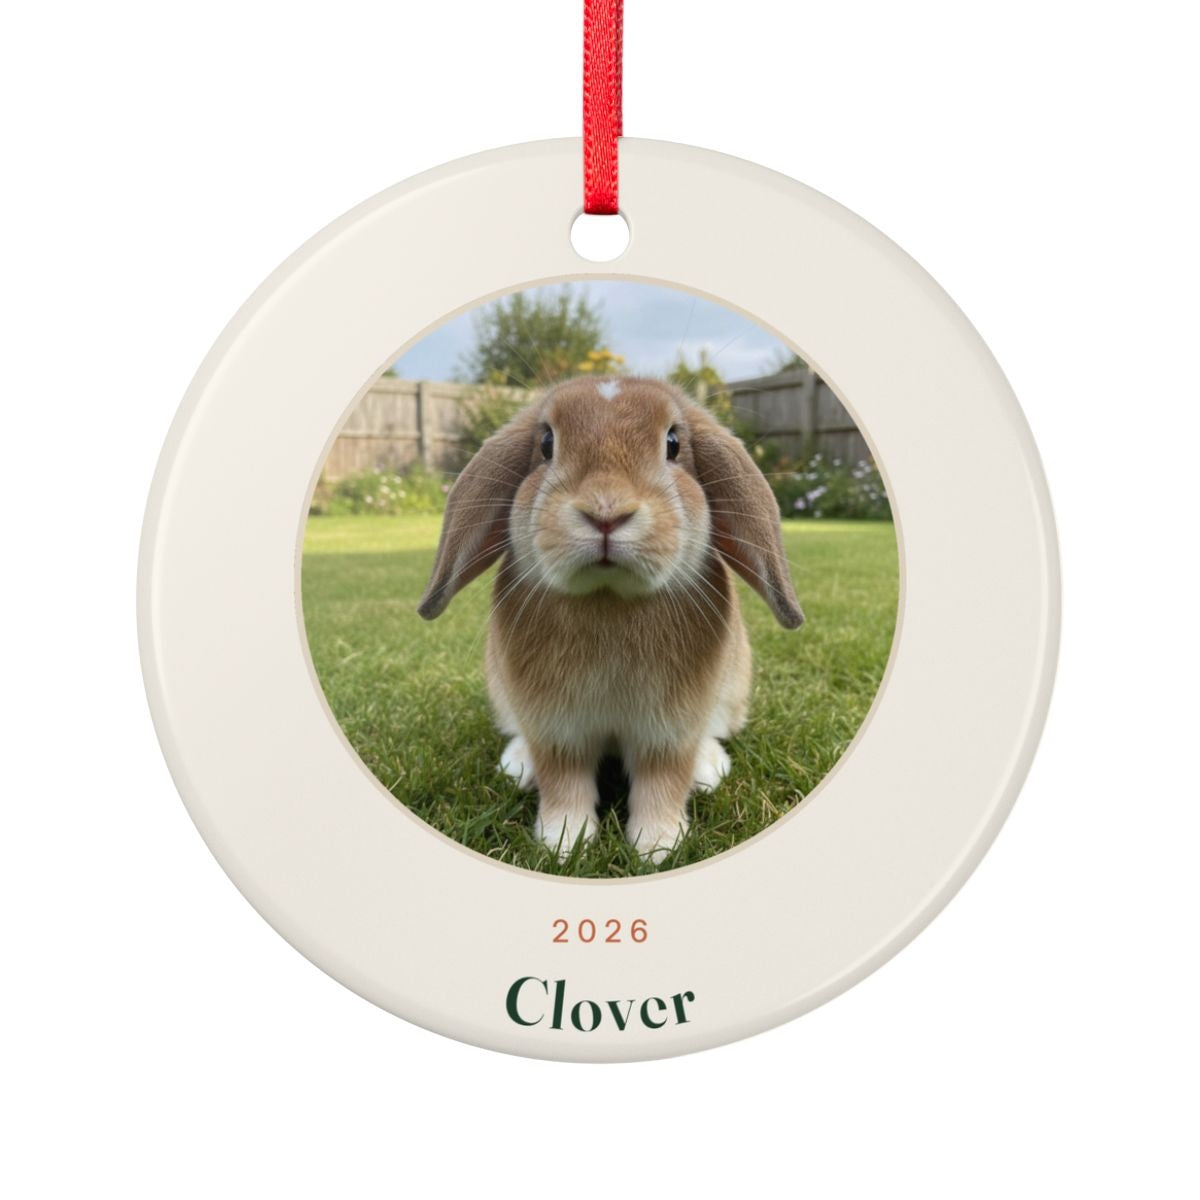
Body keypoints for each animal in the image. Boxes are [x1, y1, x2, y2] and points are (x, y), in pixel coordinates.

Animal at [418, 376, 803, 863]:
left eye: (673, 444)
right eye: (546, 443)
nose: (606, 511)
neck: (609, 597)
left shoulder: (669, 733)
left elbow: (662, 782)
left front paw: (658, 848)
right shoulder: (556, 730)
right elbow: (563, 783)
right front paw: (563, 845)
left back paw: (707, 769)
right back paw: (518, 765)